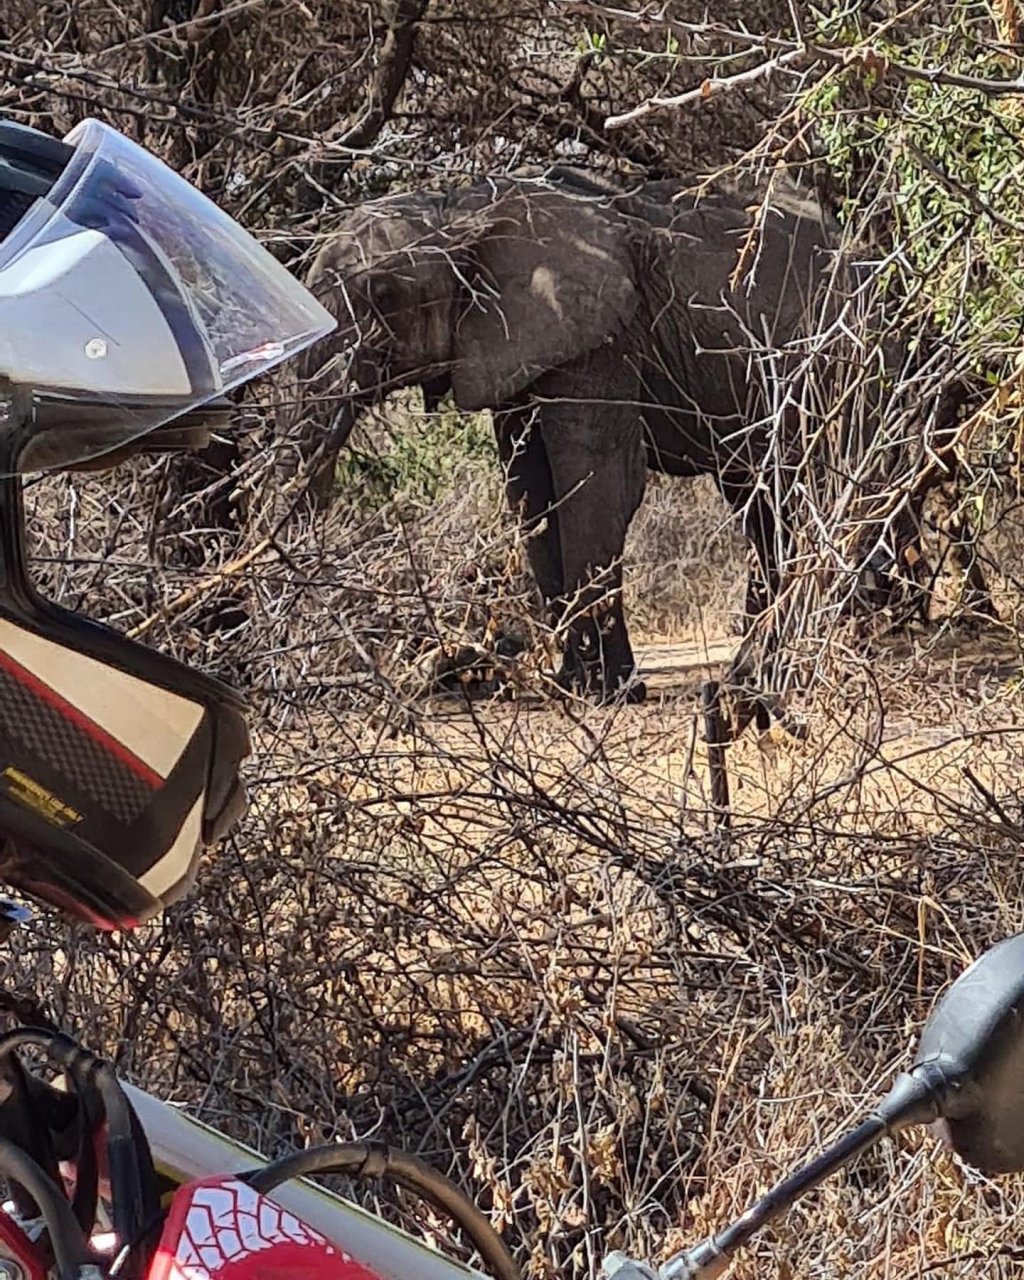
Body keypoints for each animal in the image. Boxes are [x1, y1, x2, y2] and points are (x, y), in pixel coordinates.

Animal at [284, 166, 962, 716]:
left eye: (382, 295)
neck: (462, 204)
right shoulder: (518, 349)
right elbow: (531, 491)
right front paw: (575, 685)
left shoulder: (599, 336)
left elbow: (595, 480)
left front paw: (606, 693)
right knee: (763, 502)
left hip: (849, 362)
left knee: (823, 489)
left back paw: (785, 666)